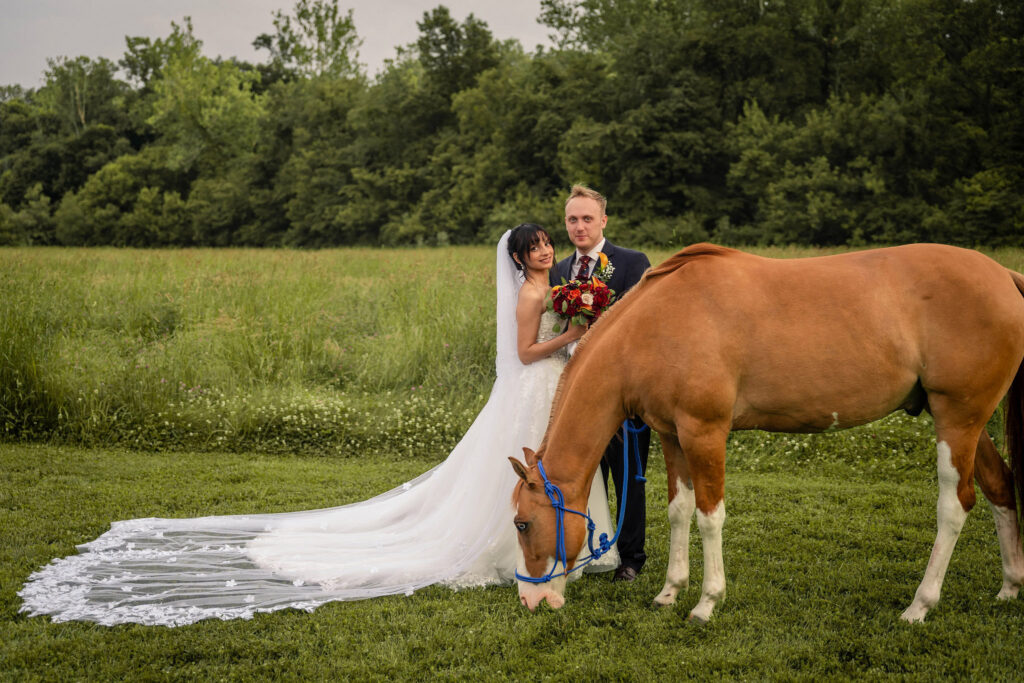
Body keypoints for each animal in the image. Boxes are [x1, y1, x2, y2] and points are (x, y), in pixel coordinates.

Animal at [509, 243, 1024, 623]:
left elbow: (709, 517)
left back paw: (920, 605)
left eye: (522, 523)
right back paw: (1009, 586)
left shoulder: (704, 434)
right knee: (999, 486)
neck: (655, 326)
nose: (529, 600)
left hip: (958, 419)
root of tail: (1004, 275)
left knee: (954, 506)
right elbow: (678, 512)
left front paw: (706, 603)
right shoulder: (674, 438)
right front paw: (670, 592)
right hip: (965, 422)